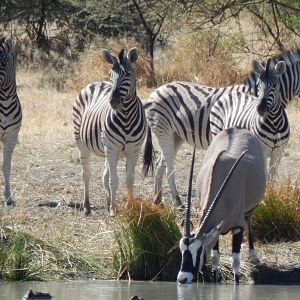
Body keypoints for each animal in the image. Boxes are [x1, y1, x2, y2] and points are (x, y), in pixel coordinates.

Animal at [73, 47, 147, 216]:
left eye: (128, 74)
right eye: (110, 74)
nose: (113, 102)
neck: (126, 116)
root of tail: (96, 83)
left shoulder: (134, 150)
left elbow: (129, 180)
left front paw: (130, 207)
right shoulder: (112, 148)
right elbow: (114, 180)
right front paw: (113, 210)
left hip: (108, 149)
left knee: (104, 175)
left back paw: (107, 203)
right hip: (83, 144)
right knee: (86, 175)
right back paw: (87, 206)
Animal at [144, 57, 288, 206]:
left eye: (275, 85)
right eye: (259, 86)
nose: (261, 109)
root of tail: (156, 91)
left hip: (176, 136)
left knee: (160, 164)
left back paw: (158, 199)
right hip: (163, 130)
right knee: (169, 166)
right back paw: (176, 200)